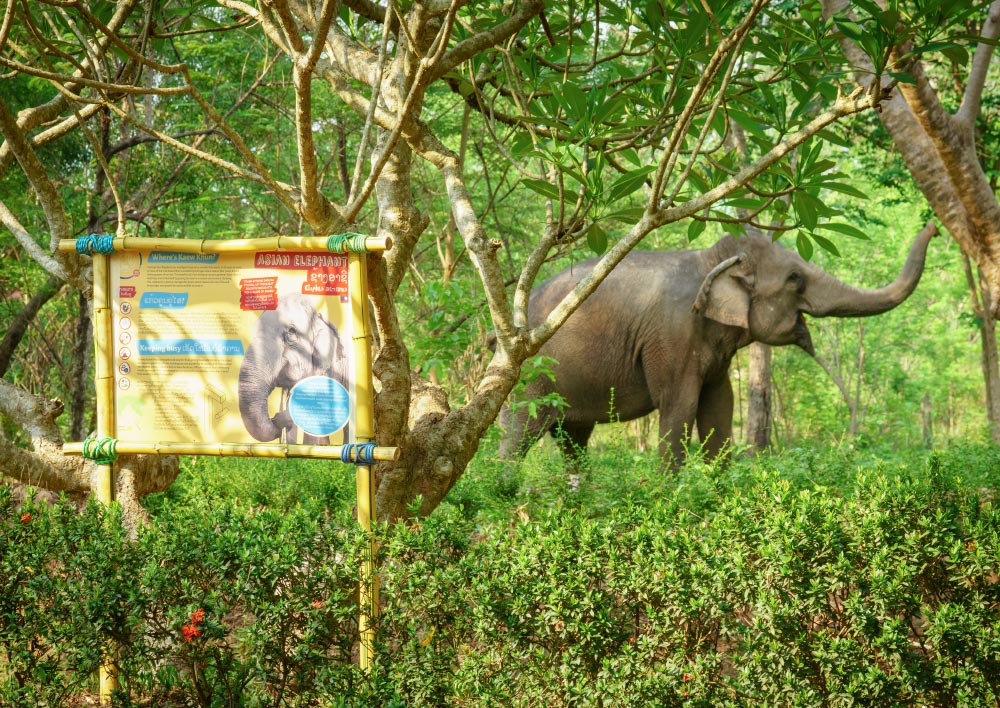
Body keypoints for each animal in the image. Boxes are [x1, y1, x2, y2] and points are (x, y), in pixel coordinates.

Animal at [500, 224, 936, 468]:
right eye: (795, 278)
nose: (933, 226)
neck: (712, 259)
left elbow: (719, 409)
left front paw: (719, 492)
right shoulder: (673, 334)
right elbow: (679, 407)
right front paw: (670, 500)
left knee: (574, 440)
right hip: (529, 375)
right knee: (519, 435)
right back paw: (503, 495)